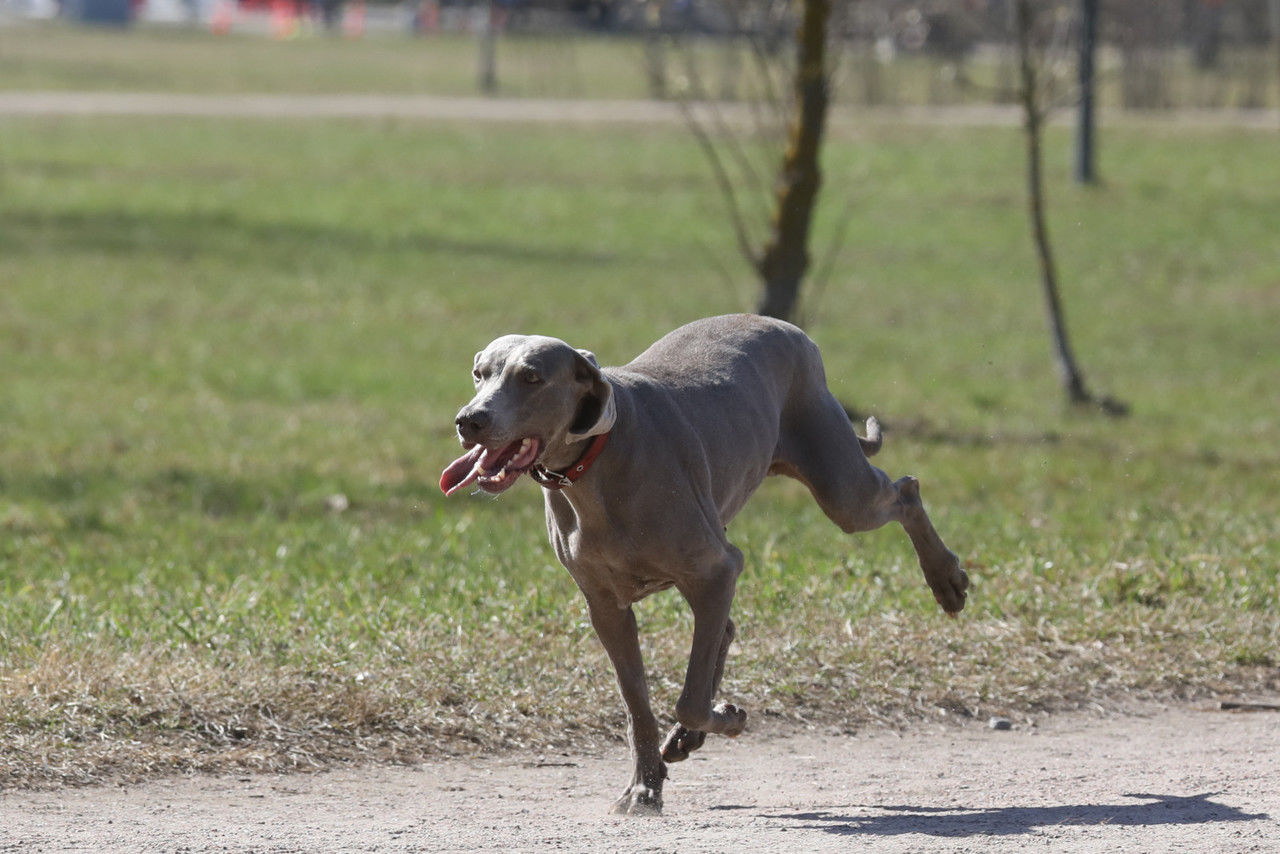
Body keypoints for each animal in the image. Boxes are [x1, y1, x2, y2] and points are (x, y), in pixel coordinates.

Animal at [442, 313, 967, 814]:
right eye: (478, 373)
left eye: (531, 377)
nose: (469, 419)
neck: (593, 467)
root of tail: (785, 326)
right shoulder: (607, 608)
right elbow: (637, 705)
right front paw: (644, 790)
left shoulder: (715, 569)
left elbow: (691, 700)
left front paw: (726, 719)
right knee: (726, 628)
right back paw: (683, 742)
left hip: (840, 488)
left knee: (905, 490)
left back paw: (947, 581)